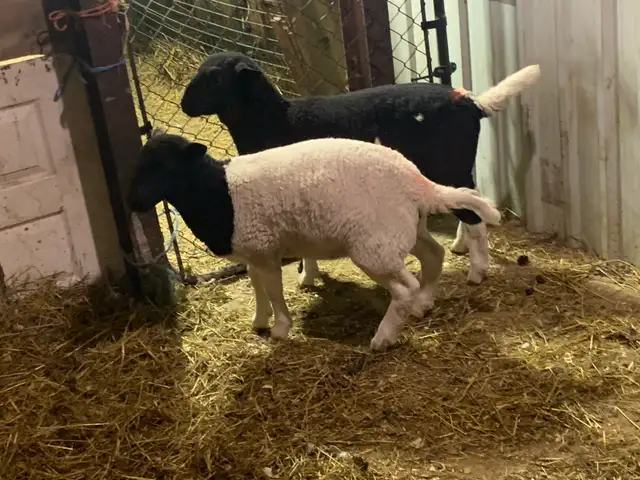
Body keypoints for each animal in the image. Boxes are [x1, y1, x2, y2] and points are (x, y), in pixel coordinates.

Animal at [127, 130, 502, 350]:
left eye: (165, 168)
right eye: (140, 163)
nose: (132, 203)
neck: (220, 193)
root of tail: (418, 182)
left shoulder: (266, 250)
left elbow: (274, 290)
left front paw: (280, 329)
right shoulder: (253, 250)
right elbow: (257, 287)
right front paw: (259, 321)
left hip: (374, 247)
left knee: (404, 287)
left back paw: (383, 337)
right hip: (402, 230)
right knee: (433, 255)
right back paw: (423, 303)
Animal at [179, 51, 540, 285]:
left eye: (215, 79)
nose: (184, 104)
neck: (275, 119)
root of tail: (471, 103)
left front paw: (307, 277)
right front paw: (309, 276)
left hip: (447, 162)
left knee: (474, 215)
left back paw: (477, 272)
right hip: (453, 165)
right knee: (468, 198)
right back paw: (461, 246)